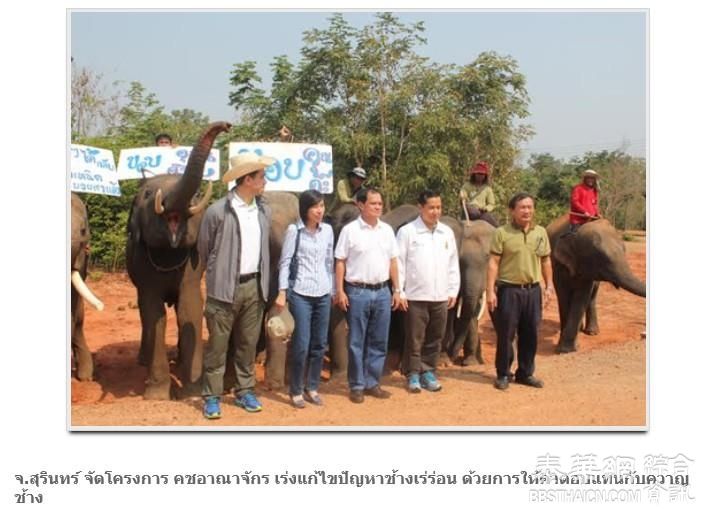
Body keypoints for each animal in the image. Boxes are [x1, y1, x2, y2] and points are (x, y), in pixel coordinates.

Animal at [127, 121, 231, 400]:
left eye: (195, 197)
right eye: (148, 194)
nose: (227, 125)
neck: (169, 251)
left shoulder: (193, 265)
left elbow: (190, 309)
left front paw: (192, 391)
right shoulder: (143, 265)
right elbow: (154, 313)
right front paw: (156, 396)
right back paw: (141, 360)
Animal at [548, 214, 644, 354]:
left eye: (624, 250)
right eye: (601, 258)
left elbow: (581, 297)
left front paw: (567, 349)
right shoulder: (558, 264)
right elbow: (563, 294)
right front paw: (564, 350)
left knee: (592, 297)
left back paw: (591, 332)